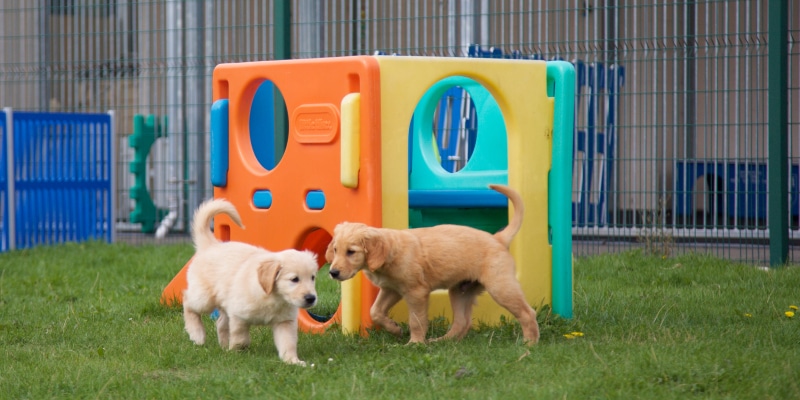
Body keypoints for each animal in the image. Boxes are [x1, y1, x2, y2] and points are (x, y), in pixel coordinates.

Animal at [183, 198, 318, 366]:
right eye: (294, 279)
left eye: (312, 277)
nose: (311, 298)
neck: (274, 297)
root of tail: (211, 245)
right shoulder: (238, 314)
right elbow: (241, 338)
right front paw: (236, 351)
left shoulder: (285, 322)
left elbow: (288, 343)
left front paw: (293, 361)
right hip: (204, 298)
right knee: (187, 302)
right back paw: (197, 334)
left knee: (220, 323)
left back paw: (223, 347)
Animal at [324, 184, 536, 344]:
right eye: (335, 250)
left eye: (351, 252)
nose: (333, 273)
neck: (391, 252)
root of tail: (498, 238)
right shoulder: (391, 289)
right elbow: (375, 311)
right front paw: (394, 329)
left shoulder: (416, 292)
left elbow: (416, 320)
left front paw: (415, 343)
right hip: (460, 291)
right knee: (462, 322)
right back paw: (442, 341)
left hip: (500, 286)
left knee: (527, 313)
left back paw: (529, 343)